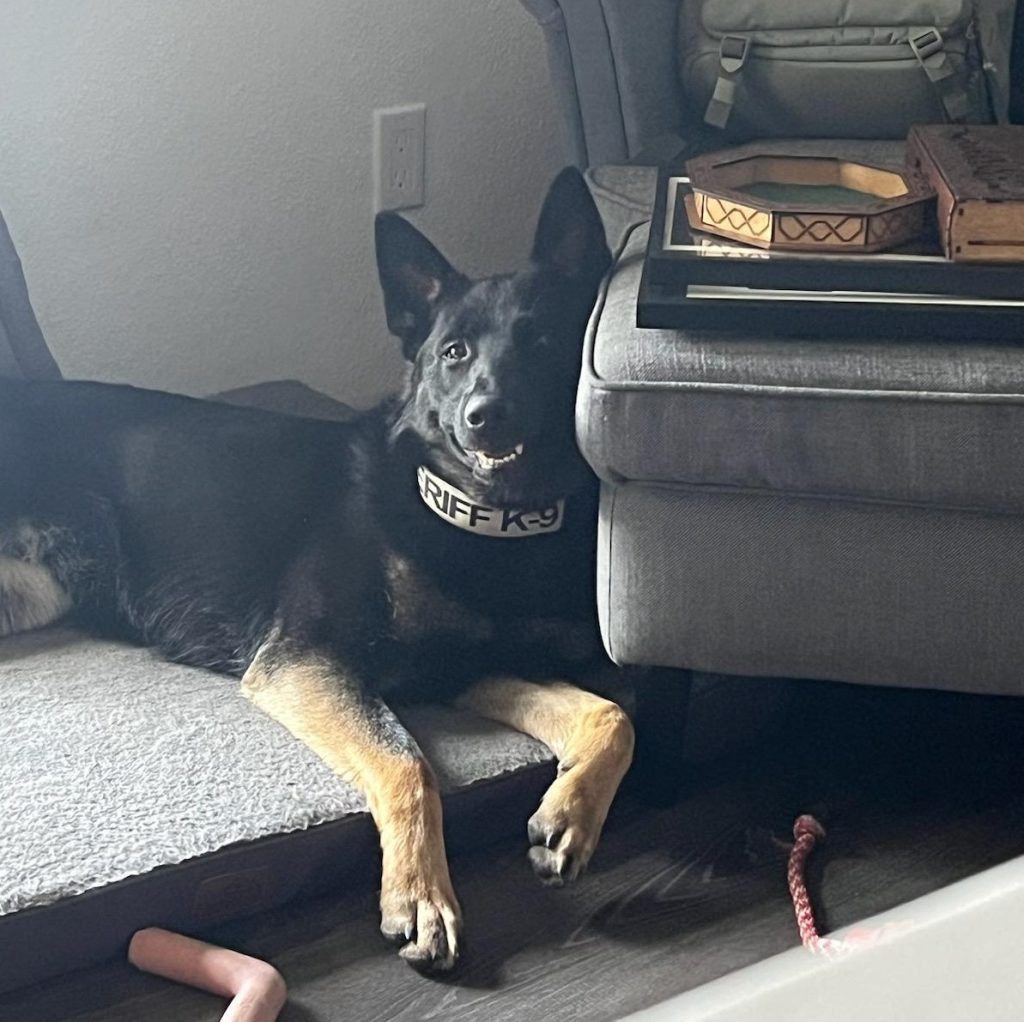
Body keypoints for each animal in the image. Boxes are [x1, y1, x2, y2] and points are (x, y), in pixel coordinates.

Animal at [0, 165, 630, 966]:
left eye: (543, 339)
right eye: (454, 353)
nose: (487, 416)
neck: (476, 518)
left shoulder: (471, 667)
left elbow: (611, 714)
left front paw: (572, 815)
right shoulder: (305, 660)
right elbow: (408, 762)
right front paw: (419, 894)